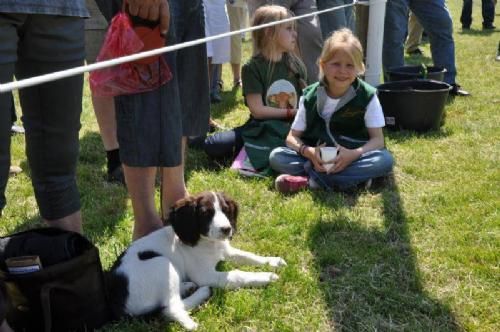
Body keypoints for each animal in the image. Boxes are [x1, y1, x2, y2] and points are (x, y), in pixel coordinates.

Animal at [106, 192, 286, 330]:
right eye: (206, 213)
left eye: (226, 210)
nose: (227, 229)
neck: (208, 242)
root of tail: (117, 305)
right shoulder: (205, 274)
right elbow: (237, 274)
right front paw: (266, 277)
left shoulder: (226, 250)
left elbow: (247, 255)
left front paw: (273, 261)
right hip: (162, 264)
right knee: (170, 309)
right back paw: (201, 297)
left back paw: (187, 286)